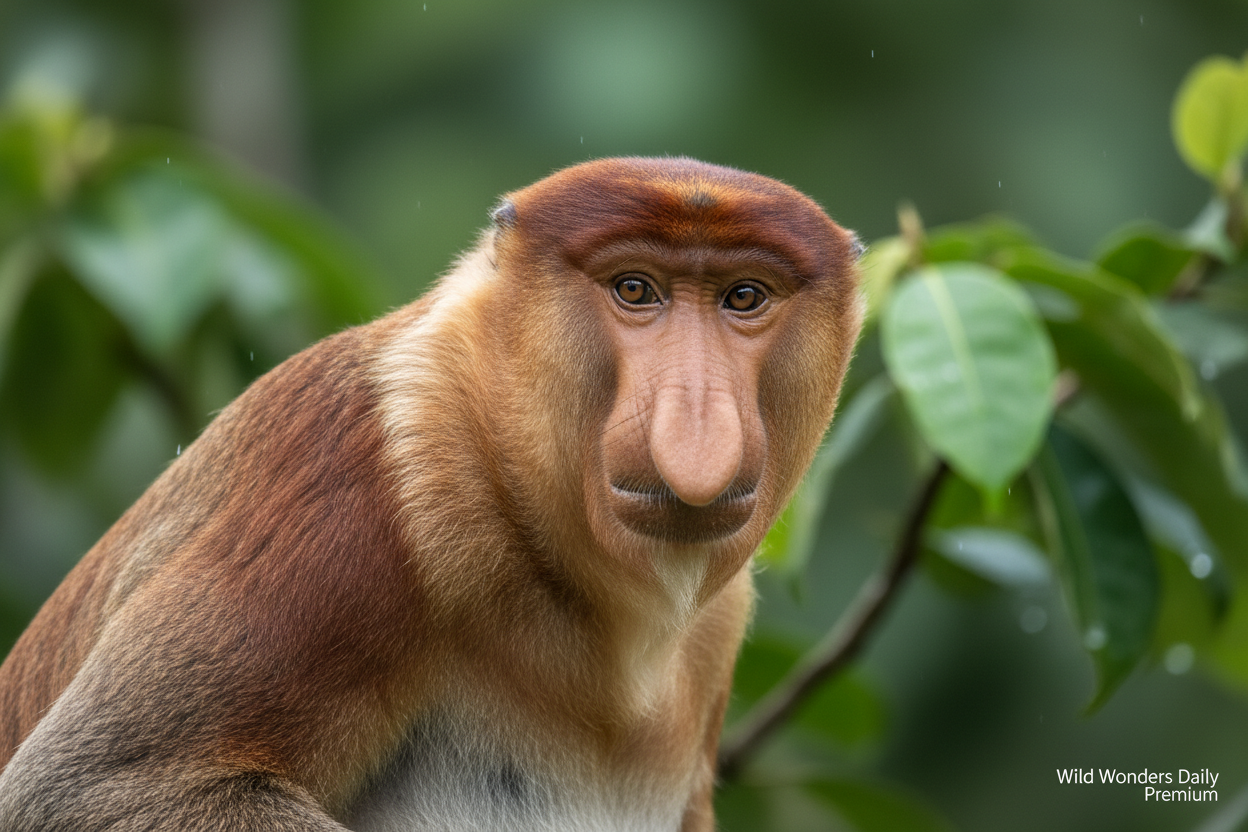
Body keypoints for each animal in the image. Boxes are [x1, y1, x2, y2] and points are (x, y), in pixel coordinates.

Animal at [0, 157, 862, 831]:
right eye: (635, 288)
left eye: (744, 297)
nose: (697, 419)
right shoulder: (362, 485)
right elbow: (90, 789)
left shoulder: (717, 631)